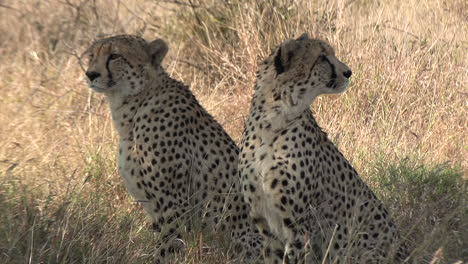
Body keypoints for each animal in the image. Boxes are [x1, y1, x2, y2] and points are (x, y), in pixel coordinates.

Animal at [85, 34, 264, 262]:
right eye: (92, 55)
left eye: (115, 56)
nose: (91, 74)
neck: (136, 102)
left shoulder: (173, 206)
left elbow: (167, 248)